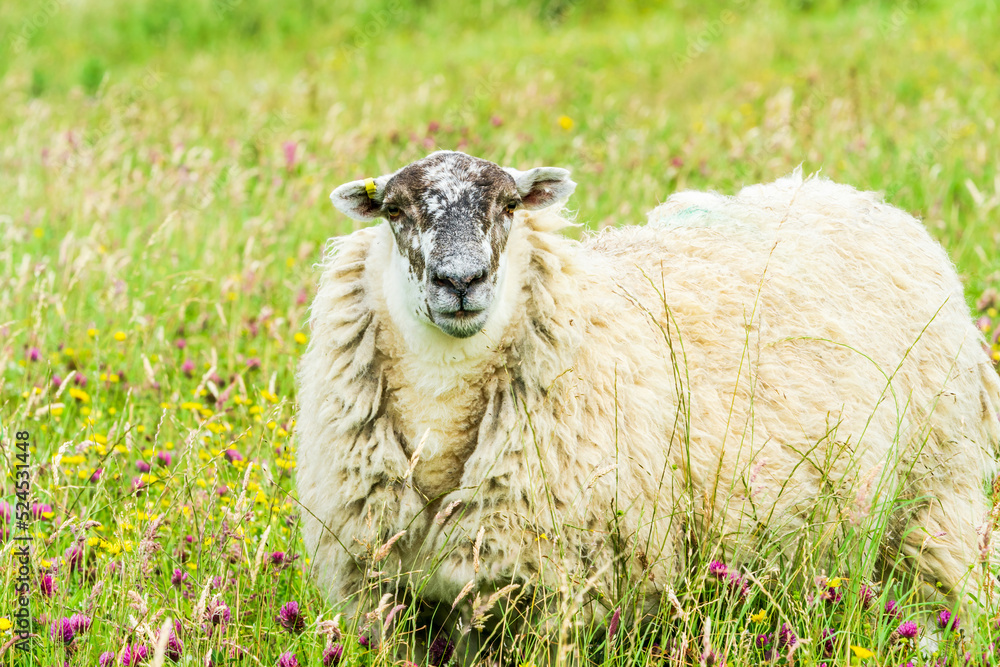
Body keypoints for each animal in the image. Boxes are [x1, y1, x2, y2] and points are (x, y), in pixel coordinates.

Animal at [296, 150, 1000, 656]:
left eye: (509, 205)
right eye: (394, 211)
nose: (461, 281)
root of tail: (846, 194)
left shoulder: (552, 596)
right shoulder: (390, 602)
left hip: (934, 499)